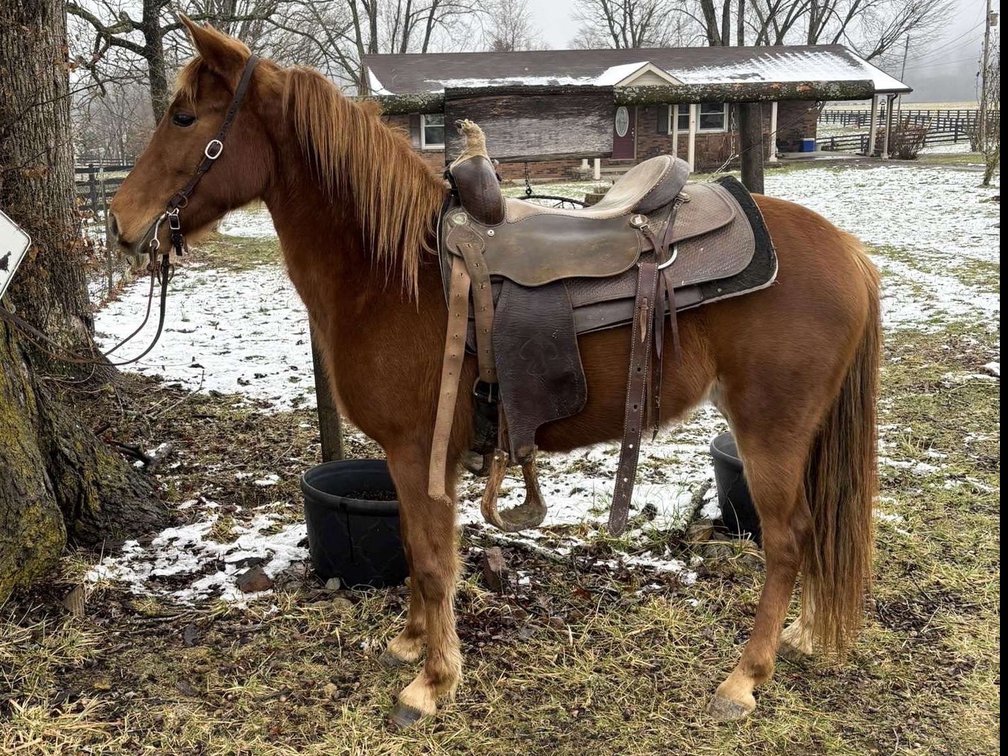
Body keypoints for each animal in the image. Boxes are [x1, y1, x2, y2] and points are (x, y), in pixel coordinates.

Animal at [108, 19, 881, 728]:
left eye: (184, 116)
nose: (120, 222)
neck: (394, 272)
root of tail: (846, 251)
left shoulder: (419, 450)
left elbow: (431, 561)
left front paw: (431, 682)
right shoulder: (414, 457)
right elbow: (417, 551)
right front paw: (411, 642)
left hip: (770, 432)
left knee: (787, 541)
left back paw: (745, 678)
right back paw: (803, 634)